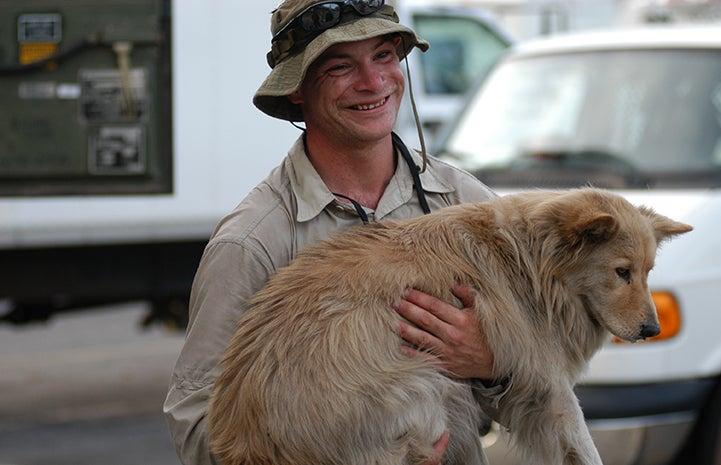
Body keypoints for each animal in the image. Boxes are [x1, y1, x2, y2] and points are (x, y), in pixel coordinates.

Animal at [210, 188, 692, 464]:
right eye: (621, 272)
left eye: (648, 271)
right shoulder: (550, 390)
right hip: (431, 389)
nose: (651, 329)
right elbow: (585, 448)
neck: (533, 262)